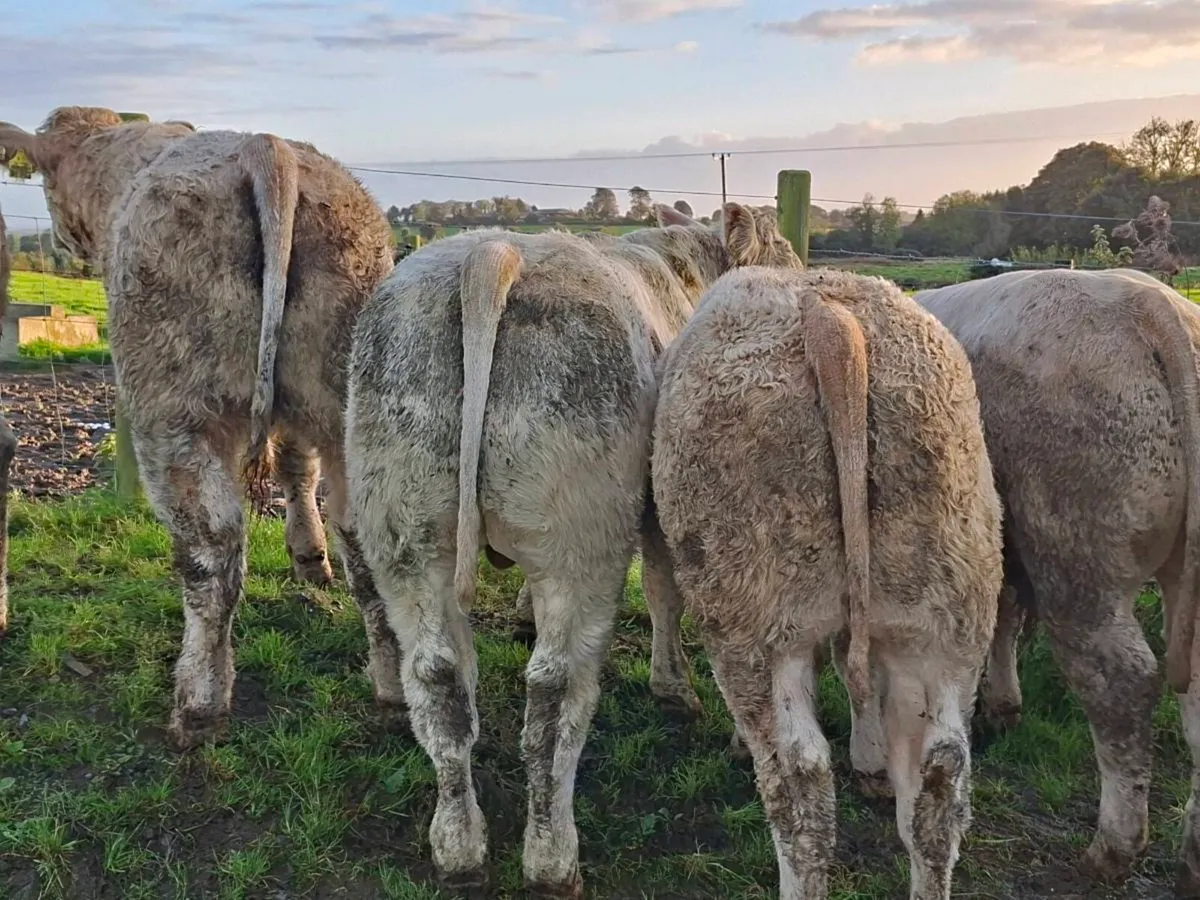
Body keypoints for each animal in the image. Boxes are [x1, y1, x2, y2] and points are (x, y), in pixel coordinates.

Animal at [0, 107, 397, 750]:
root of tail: (267, 148)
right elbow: (296, 468)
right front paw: (309, 562)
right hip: (347, 399)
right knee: (362, 531)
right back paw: (393, 689)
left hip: (177, 410)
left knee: (211, 555)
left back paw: (199, 705)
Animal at [342, 203, 800, 897]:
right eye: (780, 247)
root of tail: (490, 254)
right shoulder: (659, 509)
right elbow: (664, 593)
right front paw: (674, 687)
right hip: (581, 542)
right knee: (554, 693)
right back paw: (552, 858)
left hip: (405, 532)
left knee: (439, 678)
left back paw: (458, 845)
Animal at [651, 267, 1003, 900]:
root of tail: (829, 315)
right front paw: (870, 759)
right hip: (947, 617)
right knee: (939, 781)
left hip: (753, 622)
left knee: (799, 787)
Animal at [915, 268, 1200, 893]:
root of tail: (1152, 304)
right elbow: (1004, 615)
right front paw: (1002, 706)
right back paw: (1192, 858)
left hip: (1076, 552)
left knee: (1120, 682)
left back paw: (1113, 849)